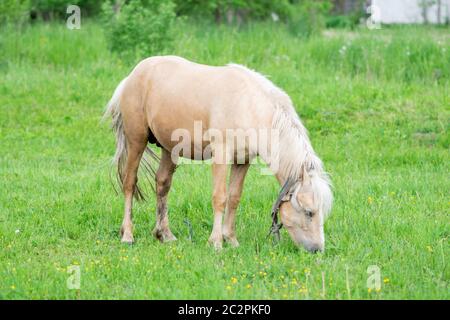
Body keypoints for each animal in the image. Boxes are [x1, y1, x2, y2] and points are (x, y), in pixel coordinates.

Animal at [103, 55, 332, 252]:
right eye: (309, 212)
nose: (317, 250)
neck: (248, 106)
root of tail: (133, 75)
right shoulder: (221, 156)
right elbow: (219, 197)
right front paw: (216, 242)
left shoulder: (243, 160)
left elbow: (234, 197)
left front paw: (231, 239)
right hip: (136, 140)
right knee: (129, 182)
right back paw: (128, 235)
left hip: (169, 148)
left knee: (162, 184)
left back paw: (164, 234)